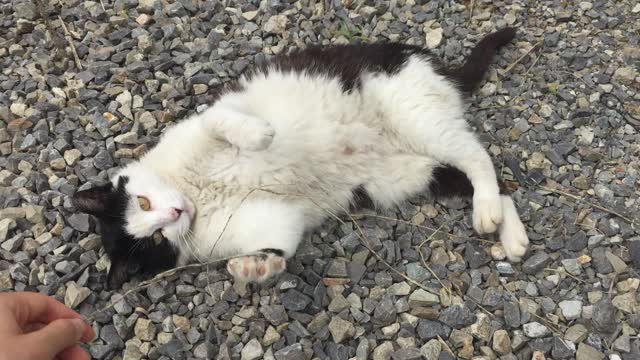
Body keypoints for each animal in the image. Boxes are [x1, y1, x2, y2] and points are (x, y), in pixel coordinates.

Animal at [72, 27, 528, 290]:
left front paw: (259, 135)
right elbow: (282, 244)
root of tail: (438, 68)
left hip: (417, 117)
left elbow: (224, 122)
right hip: (410, 173)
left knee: (479, 156)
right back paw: (509, 233)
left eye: (143, 201)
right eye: (154, 240)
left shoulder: (210, 120)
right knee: (485, 177)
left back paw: (487, 213)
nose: (174, 213)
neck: (199, 192)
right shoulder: (272, 220)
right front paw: (255, 270)